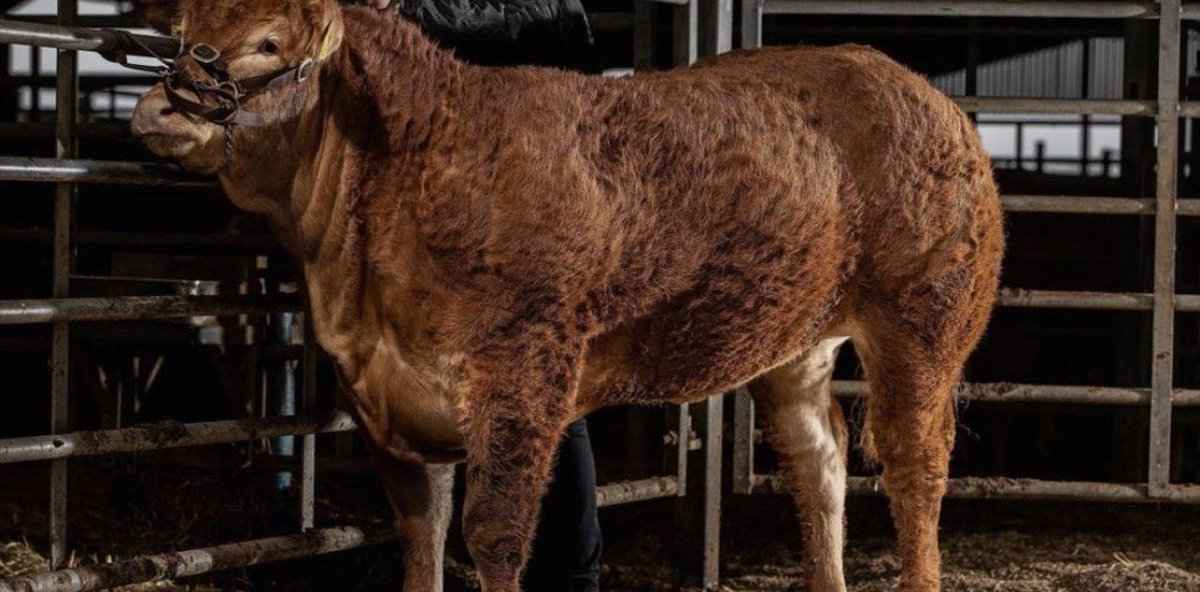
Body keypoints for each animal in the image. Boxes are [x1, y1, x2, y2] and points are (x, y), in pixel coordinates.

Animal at [128, 0, 1004, 590]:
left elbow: (494, 532)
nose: (161, 103)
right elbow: (422, 532)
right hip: (797, 341)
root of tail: (917, 90)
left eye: (270, 41)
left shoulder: (523, 373)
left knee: (914, 467)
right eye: (183, 28)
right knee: (817, 460)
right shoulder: (385, 393)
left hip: (925, 321)